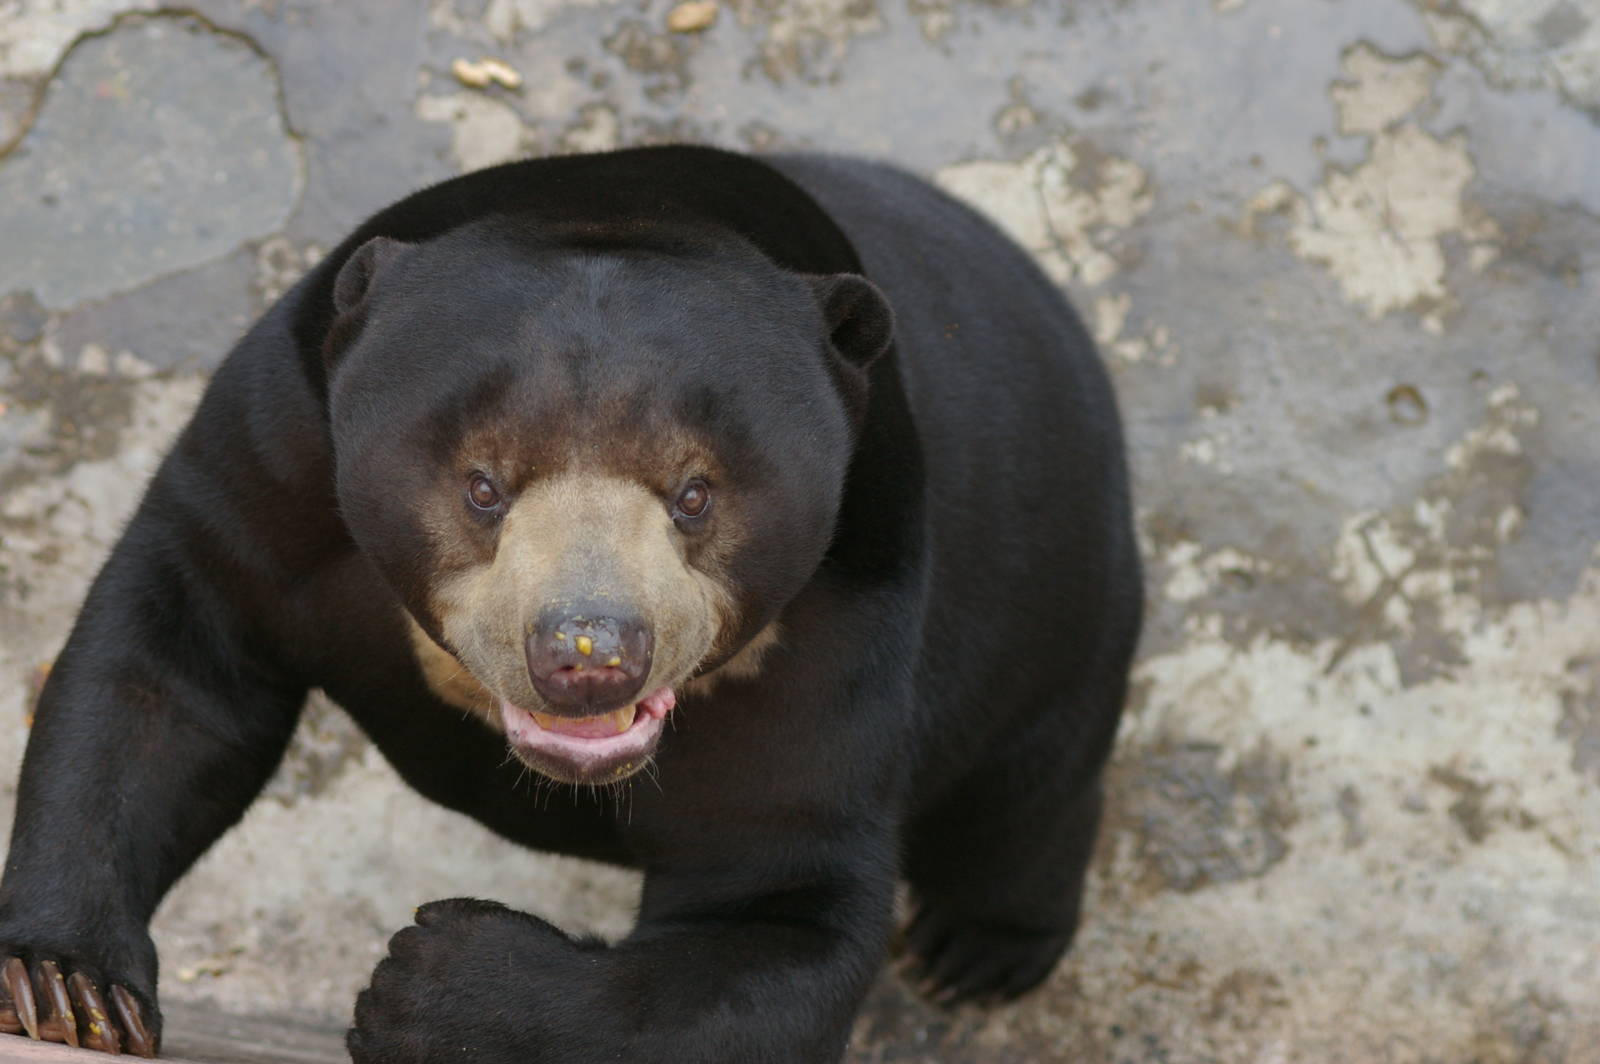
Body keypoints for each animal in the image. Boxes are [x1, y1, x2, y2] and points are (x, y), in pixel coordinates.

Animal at [0, 145, 1142, 1062]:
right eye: (481, 485)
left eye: (695, 493)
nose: (587, 657)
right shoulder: (274, 470)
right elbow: (167, 673)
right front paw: (67, 986)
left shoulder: (838, 617)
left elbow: (777, 898)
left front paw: (429, 981)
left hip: (1054, 599)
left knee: (1027, 791)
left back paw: (973, 951)